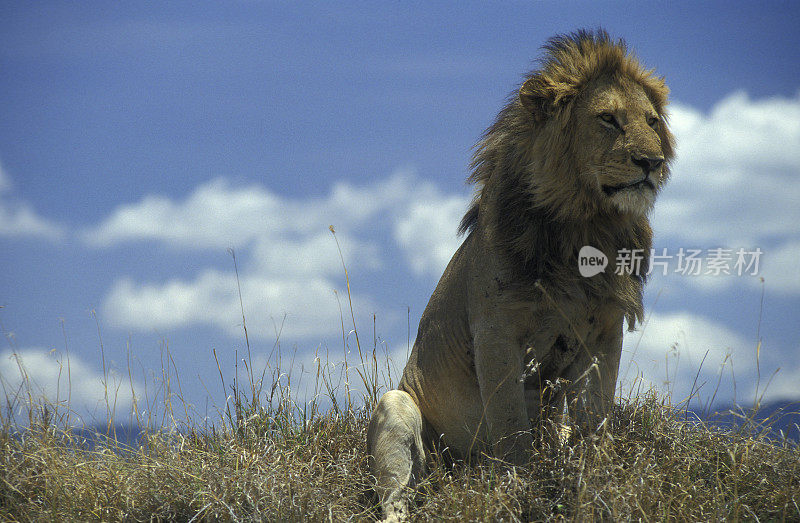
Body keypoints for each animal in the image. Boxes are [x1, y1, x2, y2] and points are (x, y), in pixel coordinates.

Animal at [368, 30, 676, 520]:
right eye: (608, 119)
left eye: (651, 121)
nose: (653, 162)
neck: (586, 226)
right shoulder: (495, 333)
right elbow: (512, 427)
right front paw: (518, 490)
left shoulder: (605, 333)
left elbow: (596, 417)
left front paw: (598, 485)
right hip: (396, 408)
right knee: (397, 495)